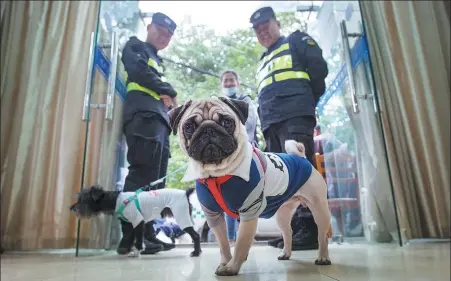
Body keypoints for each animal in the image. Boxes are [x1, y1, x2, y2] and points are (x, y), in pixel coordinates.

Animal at [70, 185, 201, 258]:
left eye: (83, 200)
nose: (71, 208)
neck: (116, 200)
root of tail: (185, 193)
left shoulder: (138, 221)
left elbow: (138, 239)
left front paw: (136, 252)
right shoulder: (131, 223)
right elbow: (131, 237)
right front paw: (128, 250)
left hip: (182, 217)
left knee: (196, 235)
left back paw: (196, 253)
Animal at [169, 97, 332, 276]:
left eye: (227, 122)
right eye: (189, 127)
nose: (208, 130)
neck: (217, 174)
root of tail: (302, 158)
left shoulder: (249, 212)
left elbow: (241, 243)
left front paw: (232, 267)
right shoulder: (214, 216)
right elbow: (224, 244)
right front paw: (225, 262)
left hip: (319, 208)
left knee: (322, 235)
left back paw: (323, 257)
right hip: (283, 214)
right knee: (287, 232)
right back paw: (286, 254)